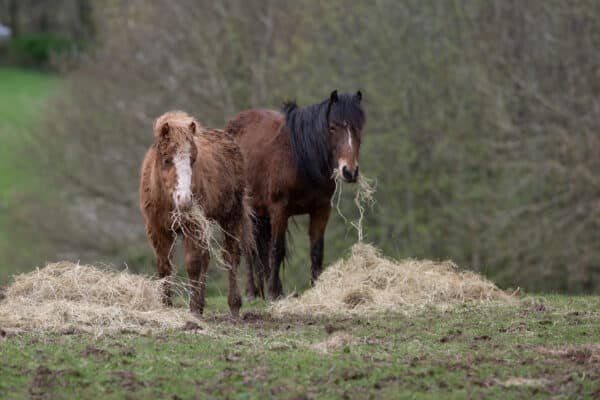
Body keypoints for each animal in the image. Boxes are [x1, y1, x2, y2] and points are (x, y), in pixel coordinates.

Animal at [139, 110, 252, 316]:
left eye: (192, 160)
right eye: (166, 159)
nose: (184, 199)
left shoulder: (191, 227)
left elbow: (192, 265)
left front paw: (192, 310)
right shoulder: (157, 230)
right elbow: (164, 266)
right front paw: (166, 305)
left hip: (230, 217)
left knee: (230, 256)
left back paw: (233, 306)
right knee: (206, 256)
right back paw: (201, 304)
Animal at [226, 89, 364, 298]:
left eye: (359, 127)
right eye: (332, 127)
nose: (349, 171)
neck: (300, 158)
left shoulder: (321, 209)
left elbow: (316, 250)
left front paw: (315, 288)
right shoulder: (279, 209)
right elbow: (277, 249)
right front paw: (273, 293)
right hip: (246, 212)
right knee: (249, 247)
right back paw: (252, 292)